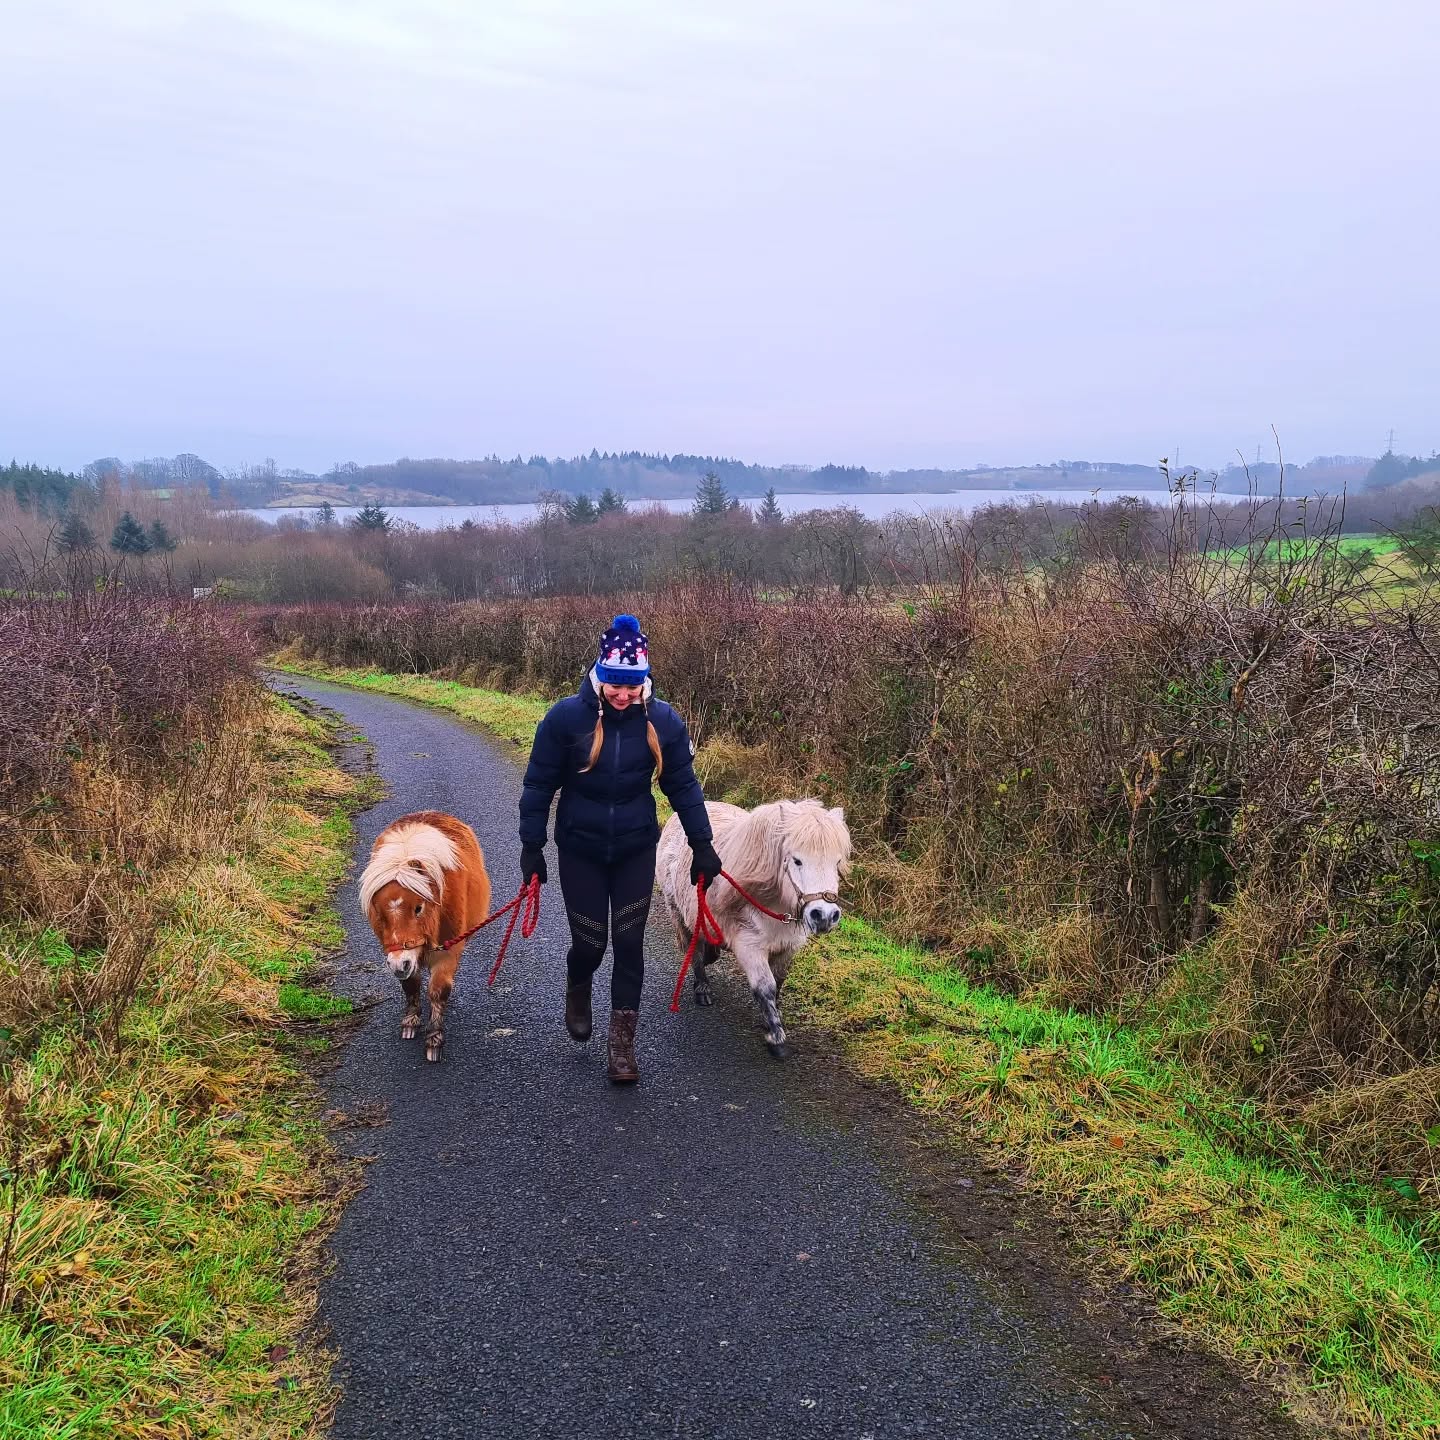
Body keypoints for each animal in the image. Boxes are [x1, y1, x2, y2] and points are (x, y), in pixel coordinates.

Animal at [358, 810, 492, 1061]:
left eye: (418, 908)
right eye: (378, 912)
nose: (399, 964)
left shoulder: (448, 951)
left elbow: (438, 990)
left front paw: (434, 1040)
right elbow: (411, 984)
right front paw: (411, 1022)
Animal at [657, 799, 851, 1059]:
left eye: (836, 862)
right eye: (797, 860)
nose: (825, 916)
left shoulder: (787, 947)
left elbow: (778, 982)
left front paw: (772, 1019)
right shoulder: (749, 946)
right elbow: (765, 987)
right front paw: (776, 1038)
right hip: (678, 913)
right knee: (694, 949)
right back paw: (702, 988)